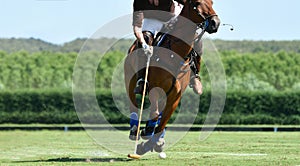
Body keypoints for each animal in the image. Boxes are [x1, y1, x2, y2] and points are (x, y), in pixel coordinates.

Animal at [123, 0, 219, 156]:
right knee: (134, 102)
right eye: (197, 3)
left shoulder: (175, 95)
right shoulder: (155, 88)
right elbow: (155, 113)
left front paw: (151, 143)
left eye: (212, 2)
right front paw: (146, 136)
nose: (215, 22)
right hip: (129, 79)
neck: (175, 54)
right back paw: (134, 129)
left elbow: (163, 121)